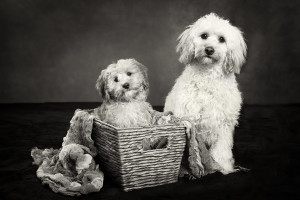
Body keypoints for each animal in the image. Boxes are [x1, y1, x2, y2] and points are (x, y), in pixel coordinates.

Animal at [165, 12, 247, 175]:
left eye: (222, 39)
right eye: (204, 36)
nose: (209, 49)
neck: (207, 75)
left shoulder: (224, 125)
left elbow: (221, 150)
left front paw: (223, 167)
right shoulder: (189, 117)